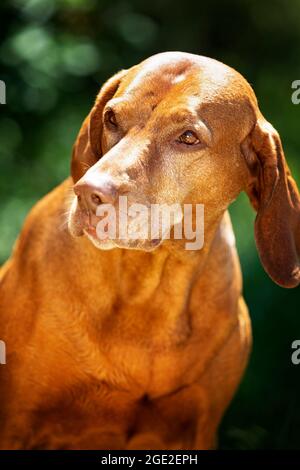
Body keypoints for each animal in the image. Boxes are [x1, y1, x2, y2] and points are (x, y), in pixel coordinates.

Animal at [0, 50, 300, 448]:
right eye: (111, 118)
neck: (148, 289)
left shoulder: (199, 430)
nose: (88, 193)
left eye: (188, 137)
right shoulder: (17, 423)